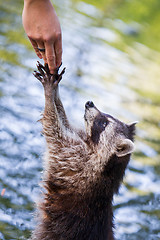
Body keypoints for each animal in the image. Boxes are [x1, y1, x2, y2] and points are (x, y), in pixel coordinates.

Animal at [31, 62, 136, 240]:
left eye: (104, 124)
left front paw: (49, 93)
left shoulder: (75, 161)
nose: (89, 103)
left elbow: (54, 130)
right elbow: (64, 123)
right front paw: (55, 91)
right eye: (106, 116)